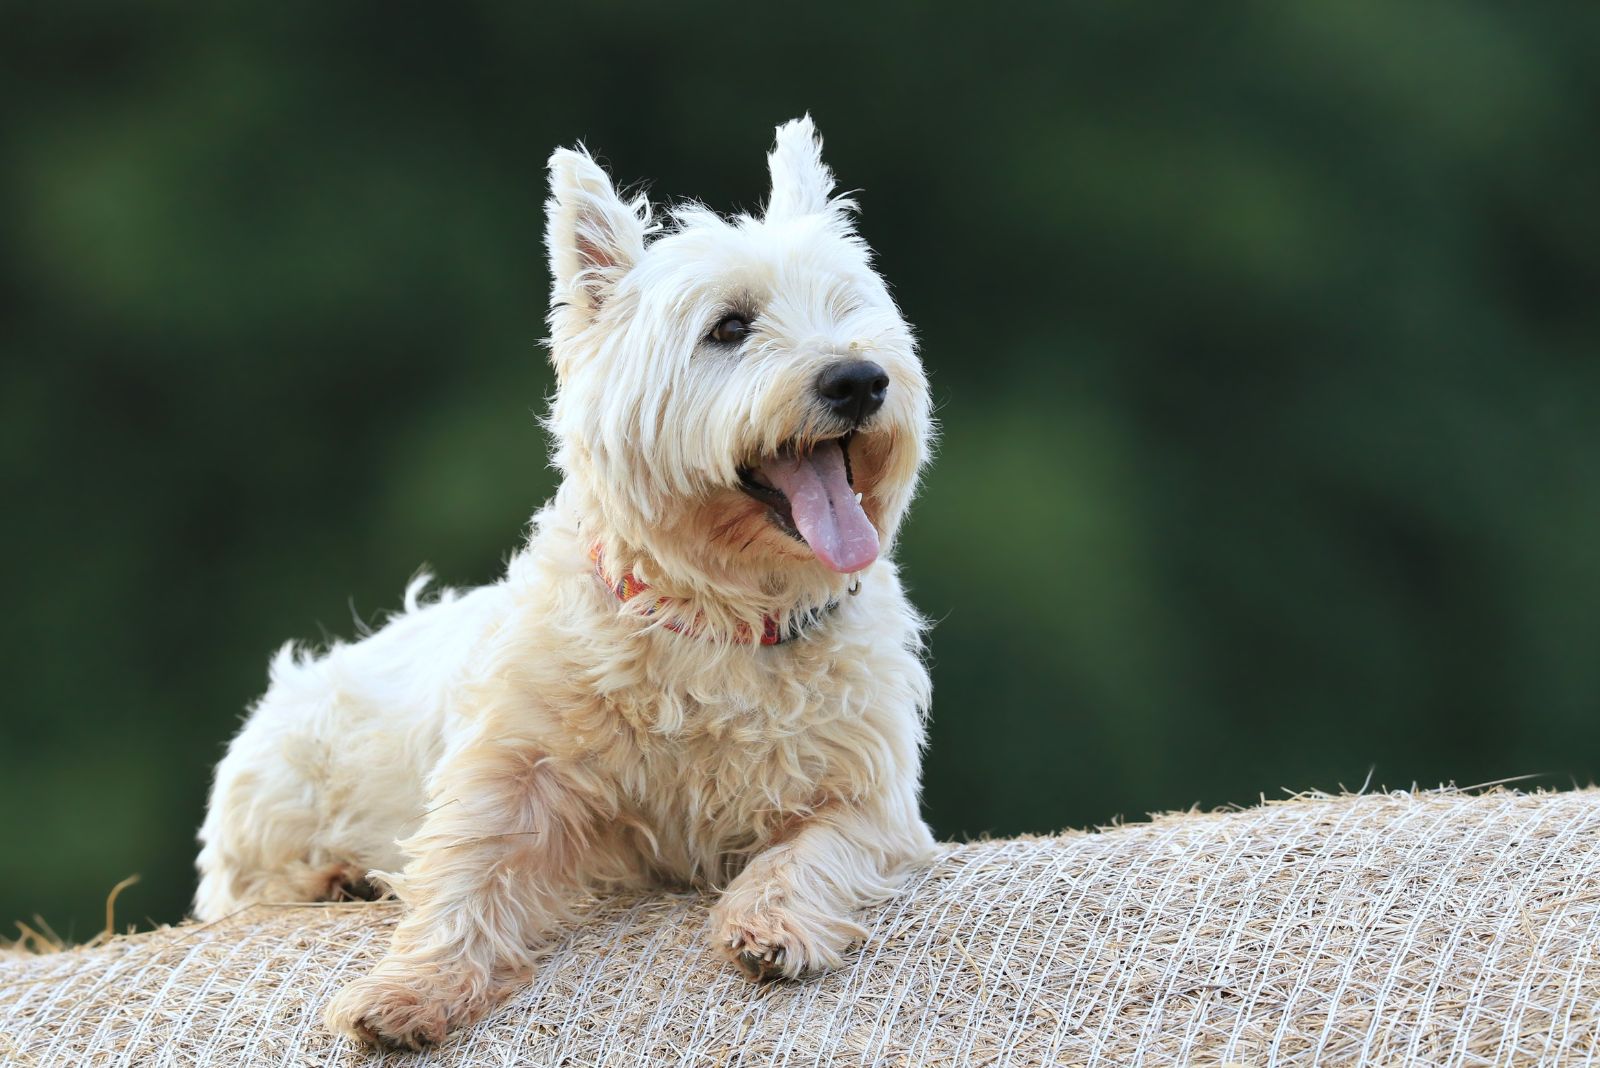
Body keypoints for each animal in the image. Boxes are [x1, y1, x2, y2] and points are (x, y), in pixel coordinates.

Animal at [190, 115, 934, 1042]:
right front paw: (405, 993)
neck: (724, 617)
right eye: (729, 327)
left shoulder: (874, 797)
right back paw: (334, 880)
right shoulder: (513, 768)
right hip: (273, 789)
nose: (859, 380)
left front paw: (772, 923)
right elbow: (465, 875)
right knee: (243, 890)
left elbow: (815, 849)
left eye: (849, 309)